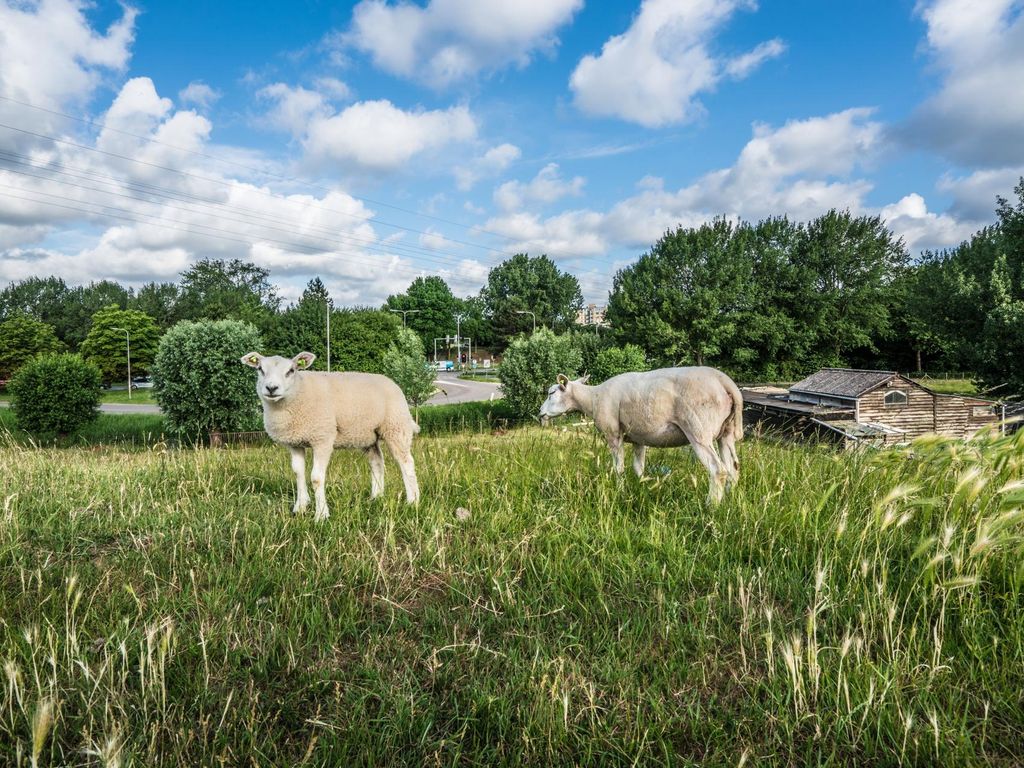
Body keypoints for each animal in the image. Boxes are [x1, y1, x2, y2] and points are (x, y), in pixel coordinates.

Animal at [239, 352, 419, 520]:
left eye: (291, 370)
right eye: (260, 369)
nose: (271, 388)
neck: (298, 392)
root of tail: (391, 381)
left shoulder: (323, 438)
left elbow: (316, 478)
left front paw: (321, 515)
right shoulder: (295, 442)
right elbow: (298, 473)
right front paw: (300, 508)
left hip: (396, 426)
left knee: (406, 463)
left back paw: (413, 501)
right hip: (367, 435)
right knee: (377, 462)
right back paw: (376, 497)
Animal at [536, 366, 745, 505]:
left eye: (551, 392)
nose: (540, 413)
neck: (592, 398)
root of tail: (725, 382)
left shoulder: (613, 434)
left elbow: (618, 468)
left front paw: (620, 492)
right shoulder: (639, 438)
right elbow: (638, 468)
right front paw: (640, 489)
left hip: (699, 429)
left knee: (718, 470)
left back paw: (711, 507)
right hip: (725, 433)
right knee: (733, 468)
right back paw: (729, 502)